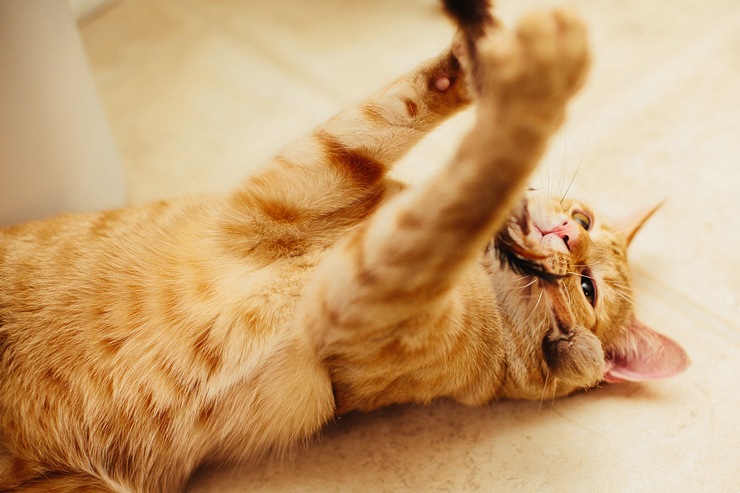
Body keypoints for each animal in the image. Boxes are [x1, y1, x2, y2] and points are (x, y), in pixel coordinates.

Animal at [0, 1, 688, 490]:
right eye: (584, 217)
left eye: (588, 289)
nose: (566, 235)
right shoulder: (315, 170)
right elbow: (394, 112)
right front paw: (481, 55)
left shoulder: (351, 299)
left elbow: (467, 189)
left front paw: (539, 82)